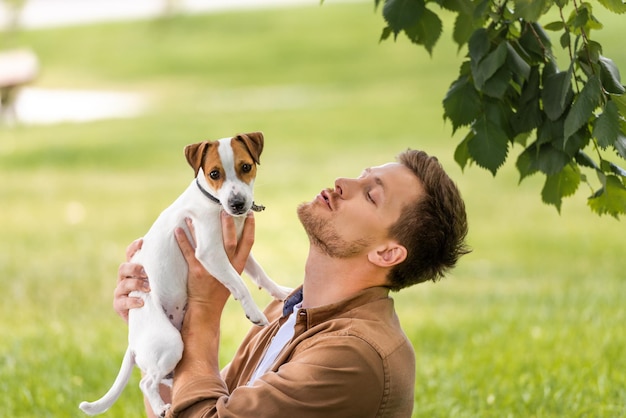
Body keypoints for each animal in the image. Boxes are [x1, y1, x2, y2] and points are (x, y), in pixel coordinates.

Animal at [79, 132, 292, 416]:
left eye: (246, 167)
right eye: (214, 173)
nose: (237, 205)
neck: (214, 202)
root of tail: (134, 342)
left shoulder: (239, 251)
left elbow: (260, 275)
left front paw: (280, 292)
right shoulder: (211, 253)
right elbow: (240, 284)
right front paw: (254, 313)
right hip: (169, 343)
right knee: (147, 382)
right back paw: (160, 407)